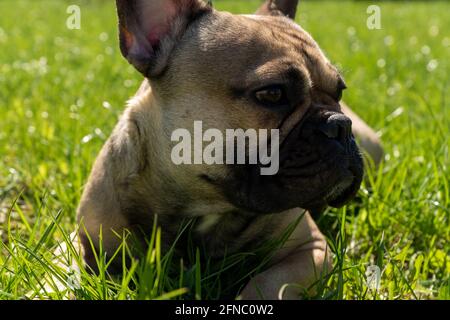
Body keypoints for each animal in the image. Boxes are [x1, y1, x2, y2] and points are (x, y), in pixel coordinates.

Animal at [76, 0, 384, 300]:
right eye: (272, 94)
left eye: (340, 91)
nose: (340, 125)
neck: (205, 205)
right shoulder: (86, 247)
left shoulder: (311, 250)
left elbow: (266, 285)